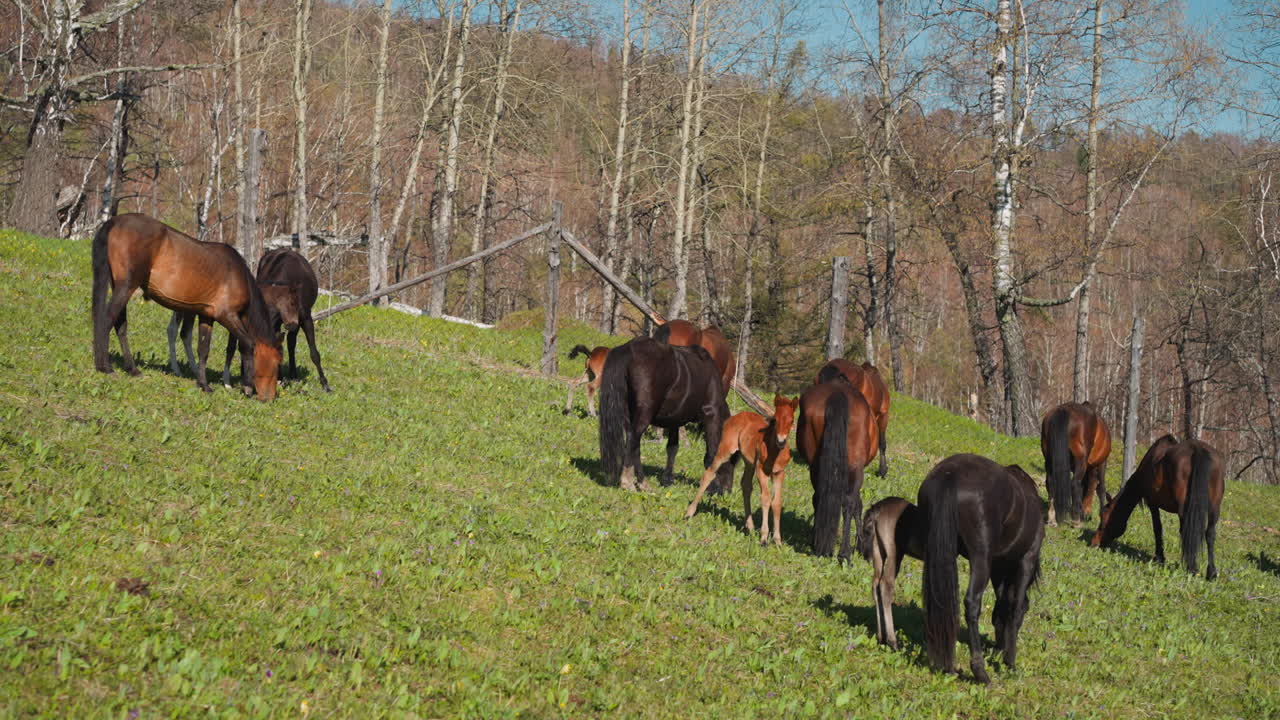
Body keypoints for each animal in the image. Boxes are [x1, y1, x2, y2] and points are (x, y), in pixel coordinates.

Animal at [92, 212, 280, 397]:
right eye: (277, 363)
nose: (270, 398)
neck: (237, 275)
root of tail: (116, 221)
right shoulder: (227, 315)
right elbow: (248, 344)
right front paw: (247, 386)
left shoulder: (206, 316)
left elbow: (203, 350)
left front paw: (203, 384)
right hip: (127, 286)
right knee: (107, 320)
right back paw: (105, 367)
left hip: (119, 286)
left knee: (120, 325)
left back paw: (132, 369)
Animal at [596, 335, 732, 486]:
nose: (727, 489)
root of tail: (628, 348)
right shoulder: (711, 414)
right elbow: (712, 452)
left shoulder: (675, 420)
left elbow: (672, 448)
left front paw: (667, 478)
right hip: (644, 414)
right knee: (633, 439)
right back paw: (628, 481)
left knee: (635, 445)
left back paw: (642, 482)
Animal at [686, 392, 793, 543]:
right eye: (775, 420)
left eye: (792, 421)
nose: (781, 441)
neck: (774, 452)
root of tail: (736, 415)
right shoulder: (761, 470)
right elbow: (765, 499)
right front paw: (764, 538)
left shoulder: (779, 473)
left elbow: (777, 503)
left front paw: (777, 541)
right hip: (726, 450)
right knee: (709, 473)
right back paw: (689, 512)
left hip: (749, 462)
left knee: (746, 485)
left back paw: (750, 526)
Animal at [921, 456, 1049, 681]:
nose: (999, 647)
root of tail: (950, 474)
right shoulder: (1026, 560)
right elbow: (1015, 607)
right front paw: (1010, 661)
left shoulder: (998, 568)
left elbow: (1002, 603)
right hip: (981, 560)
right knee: (972, 603)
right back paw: (980, 670)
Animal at [1085, 430, 1223, 576]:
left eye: (1104, 518)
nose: (1094, 542)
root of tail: (1197, 450)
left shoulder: (1152, 503)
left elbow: (1157, 528)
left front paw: (1159, 557)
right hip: (1214, 509)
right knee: (1210, 533)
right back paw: (1211, 572)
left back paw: (1191, 567)